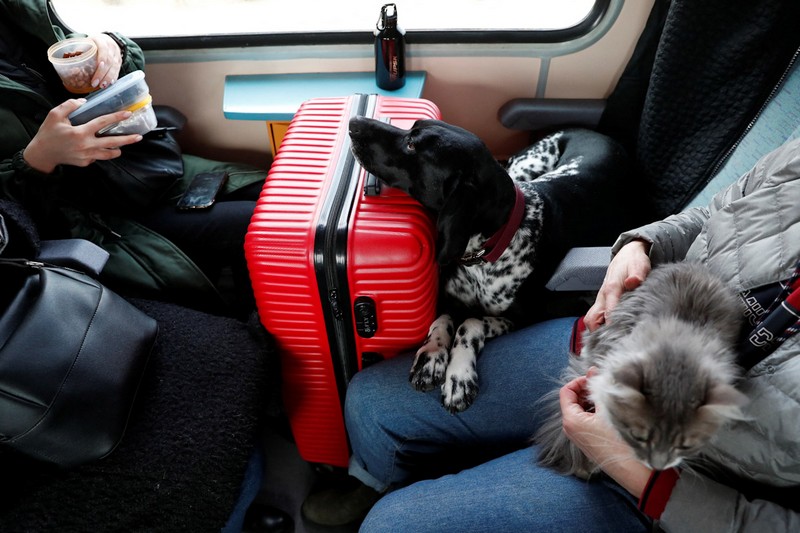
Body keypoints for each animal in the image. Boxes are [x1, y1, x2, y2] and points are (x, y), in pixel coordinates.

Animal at [348, 117, 636, 413]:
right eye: (412, 129)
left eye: (411, 144)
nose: (354, 123)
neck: (486, 251)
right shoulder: (449, 299)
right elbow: (442, 320)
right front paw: (431, 356)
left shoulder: (526, 318)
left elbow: (470, 323)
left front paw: (459, 376)